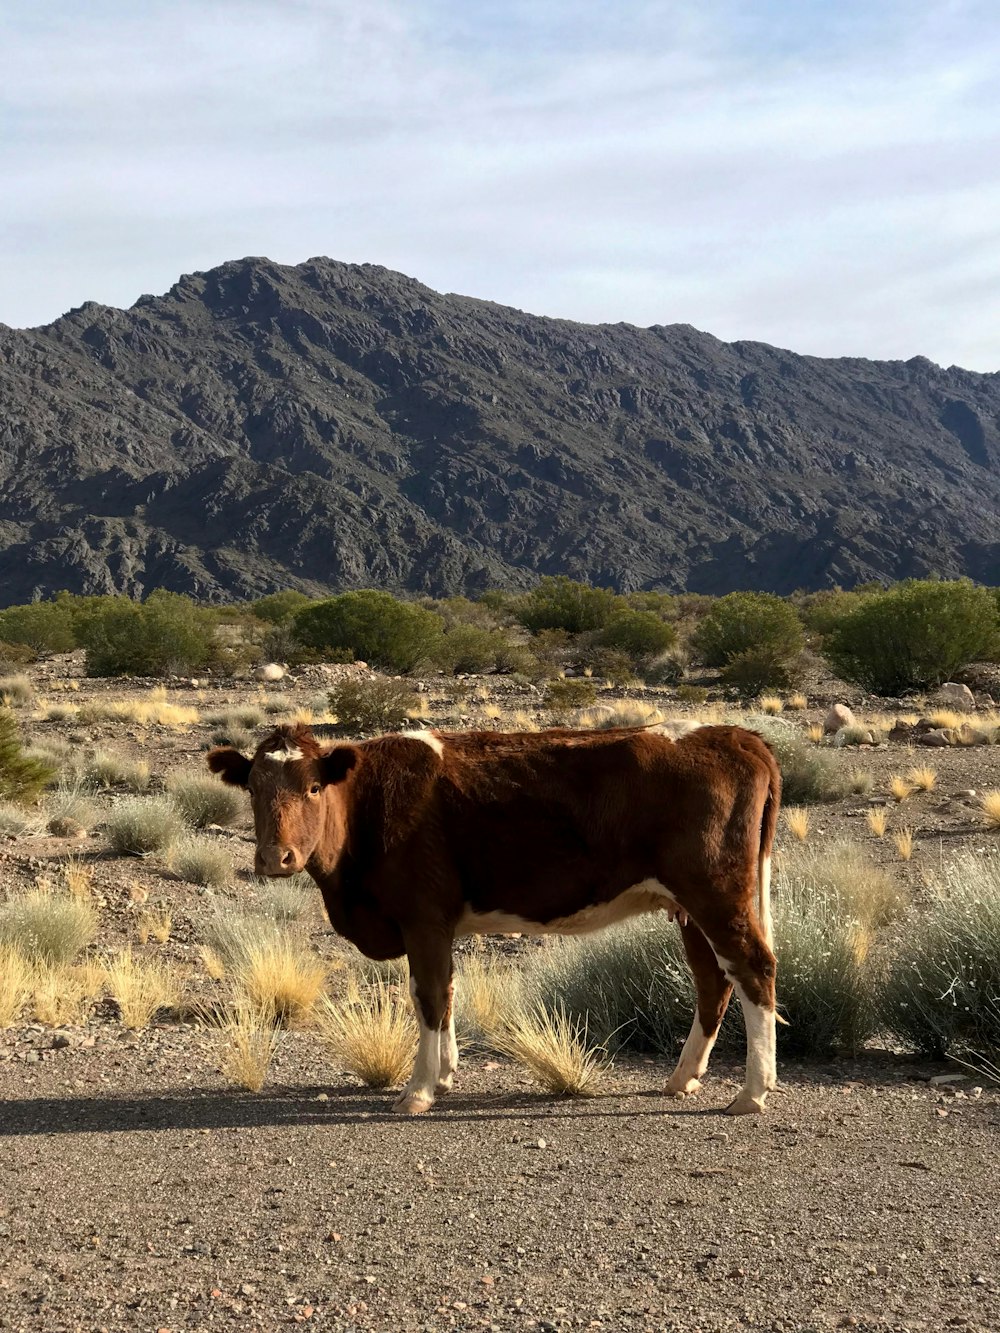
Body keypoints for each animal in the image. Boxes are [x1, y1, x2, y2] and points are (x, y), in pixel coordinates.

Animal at [209, 719, 784, 1114]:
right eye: (254, 789)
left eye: (312, 787)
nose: (275, 858)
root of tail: (737, 736)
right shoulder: (439, 925)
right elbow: (446, 991)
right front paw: (443, 1076)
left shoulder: (423, 918)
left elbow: (428, 995)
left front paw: (418, 1091)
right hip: (690, 908)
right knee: (713, 981)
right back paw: (683, 1078)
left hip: (716, 894)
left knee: (753, 969)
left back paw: (752, 1093)